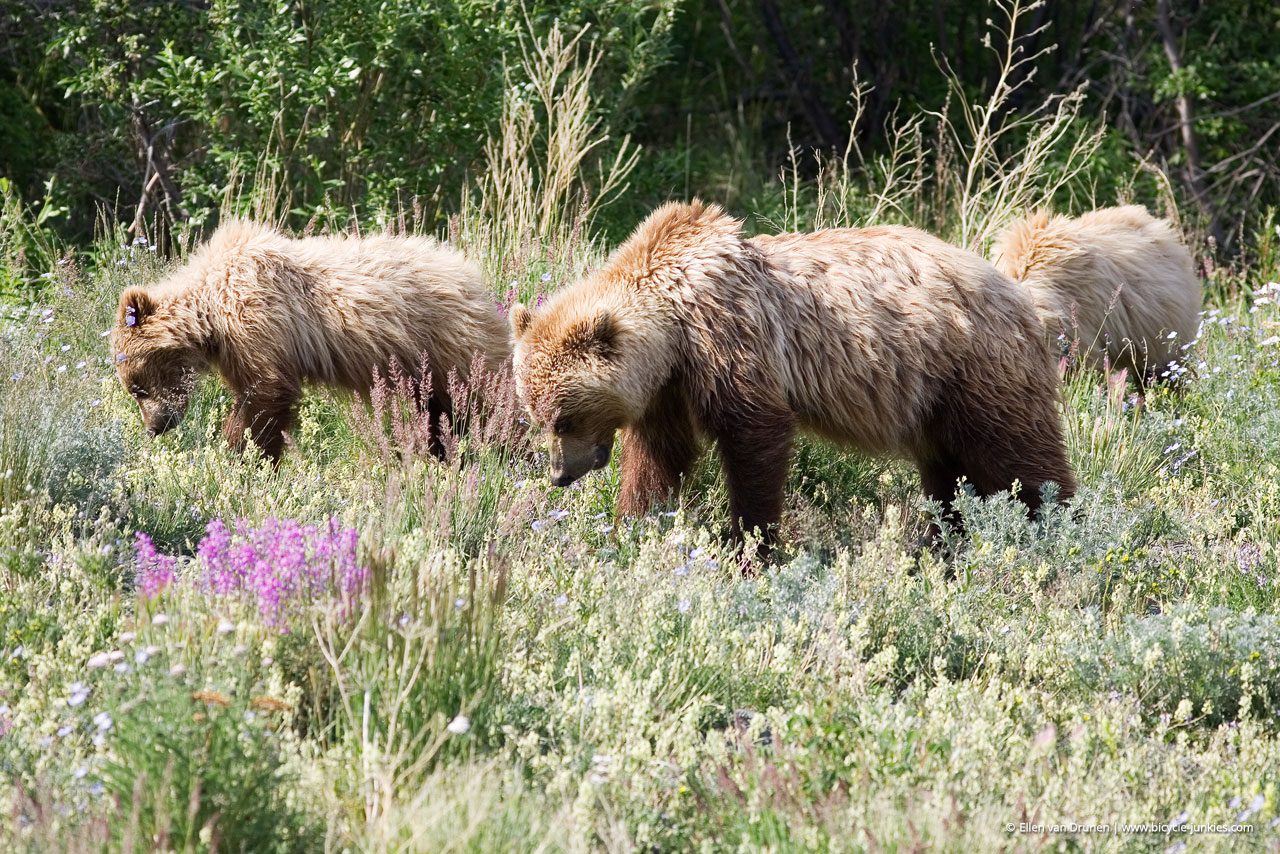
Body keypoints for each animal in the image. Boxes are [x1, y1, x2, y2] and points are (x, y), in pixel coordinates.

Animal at [110, 220, 509, 460]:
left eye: (137, 388)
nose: (156, 426)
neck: (211, 311)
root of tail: (472, 276)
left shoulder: (256, 321)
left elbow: (265, 395)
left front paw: (244, 452)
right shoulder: (236, 347)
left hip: (449, 342)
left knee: (484, 397)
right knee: (439, 411)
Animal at [514, 199, 1075, 547]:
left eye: (564, 417)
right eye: (539, 417)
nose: (560, 474)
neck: (672, 326)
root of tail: (1020, 297)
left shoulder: (728, 340)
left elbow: (754, 436)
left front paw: (751, 546)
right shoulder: (667, 387)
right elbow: (658, 457)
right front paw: (632, 527)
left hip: (975, 370)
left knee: (1021, 461)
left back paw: (1058, 530)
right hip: (936, 402)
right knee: (949, 476)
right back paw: (941, 543)